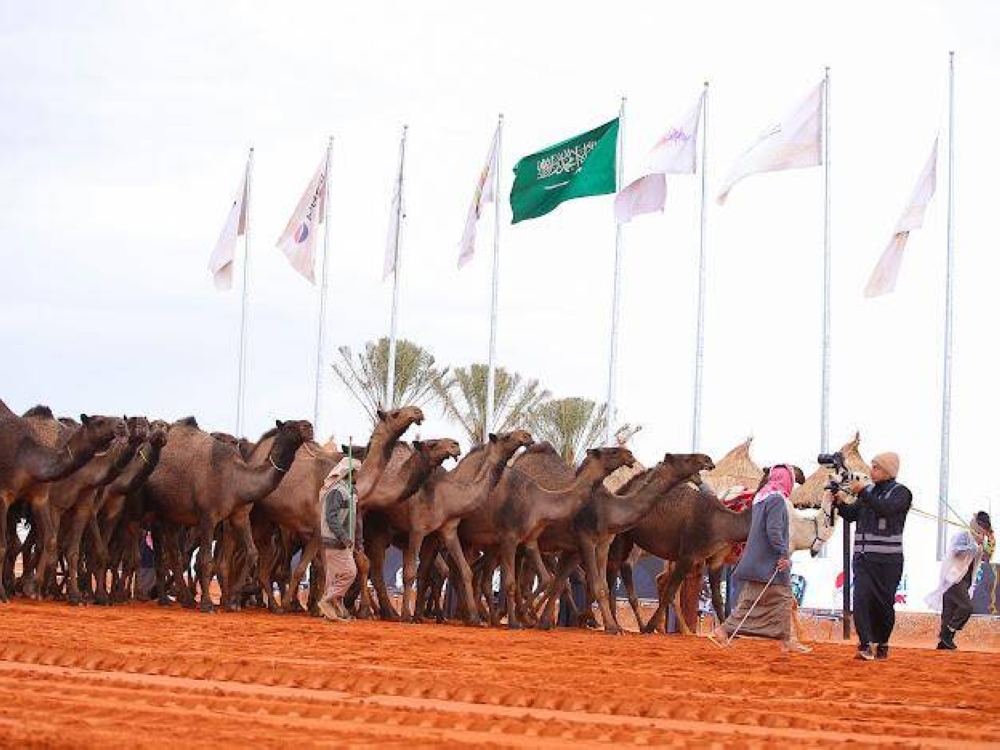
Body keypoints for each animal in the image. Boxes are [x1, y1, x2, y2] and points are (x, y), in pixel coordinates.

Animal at [0, 403, 126, 600]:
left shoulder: (40, 497)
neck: (28, 459)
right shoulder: (4, 494)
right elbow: (3, 545)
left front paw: (34, 588)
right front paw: (6, 592)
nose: (122, 424)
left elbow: (51, 540)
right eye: (99, 421)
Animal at [141, 418, 312, 612]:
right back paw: (166, 598)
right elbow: (206, 561)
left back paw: (185, 599)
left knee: (175, 556)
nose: (309, 427)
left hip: (172, 516)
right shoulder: (208, 516)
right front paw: (208, 604)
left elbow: (251, 553)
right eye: (290, 426)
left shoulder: (240, 516)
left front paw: (235, 598)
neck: (236, 481)